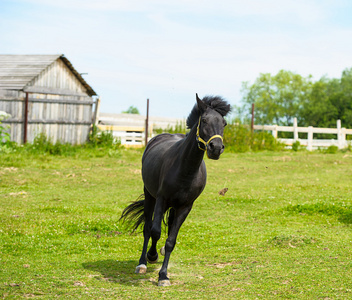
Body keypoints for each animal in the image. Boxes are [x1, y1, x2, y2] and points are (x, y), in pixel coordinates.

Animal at [121, 94, 231, 286]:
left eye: (223, 123)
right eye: (204, 120)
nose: (216, 148)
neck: (185, 169)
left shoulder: (185, 207)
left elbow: (171, 240)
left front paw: (163, 275)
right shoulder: (161, 199)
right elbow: (155, 231)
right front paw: (152, 256)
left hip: (174, 206)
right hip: (150, 196)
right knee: (147, 228)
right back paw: (142, 263)